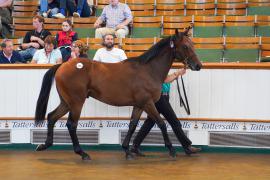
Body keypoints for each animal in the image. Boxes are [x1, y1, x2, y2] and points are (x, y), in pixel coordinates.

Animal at [34, 28, 201, 160]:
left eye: (193, 44)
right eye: (185, 46)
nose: (198, 65)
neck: (148, 70)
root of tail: (63, 65)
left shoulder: (139, 105)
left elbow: (133, 125)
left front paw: (127, 150)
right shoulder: (148, 103)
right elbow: (161, 123)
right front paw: (171, 150)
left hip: (66, 102)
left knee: (51, 117)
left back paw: (44, 145)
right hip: (76, 103)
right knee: (71, 124)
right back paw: (82, 153)